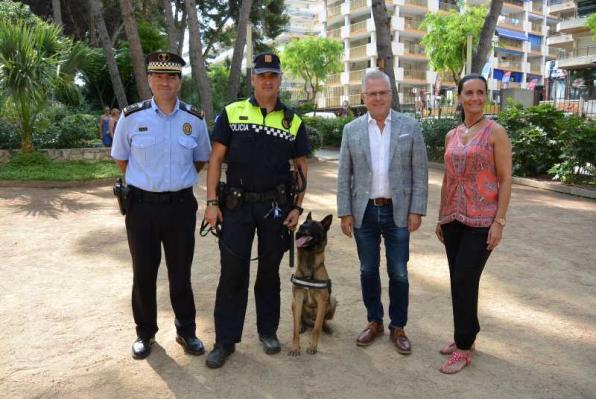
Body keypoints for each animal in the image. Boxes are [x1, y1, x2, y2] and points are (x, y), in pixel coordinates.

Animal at [290, 212, 338, 356]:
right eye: (304, 223)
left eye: (315, 226)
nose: (300, 227)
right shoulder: (298, 298)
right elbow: (295, 329)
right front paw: (295, 347)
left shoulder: (323, 301)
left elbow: (316, 328)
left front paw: (313, 346)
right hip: (293, 303)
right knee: (300, 319)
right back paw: (302, 325)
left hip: (332, 301)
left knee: (321, 322)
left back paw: (326, 327)